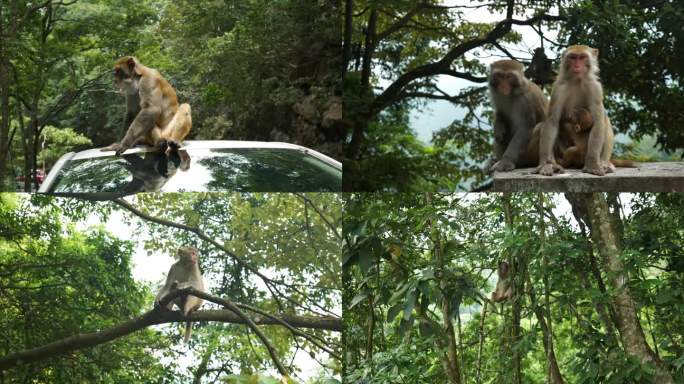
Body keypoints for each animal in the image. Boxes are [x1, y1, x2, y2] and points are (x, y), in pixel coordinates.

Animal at [536, 45, 616, 176]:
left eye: (582, 57)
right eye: (573, 57)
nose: (577, 66)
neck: (577, 80)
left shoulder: (595, 87)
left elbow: (599, 122)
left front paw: (592, 164)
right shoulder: (558, 88)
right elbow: (552, 121)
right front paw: (545, 164)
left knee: (604, 118)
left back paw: (604, 163)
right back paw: (554, 164)